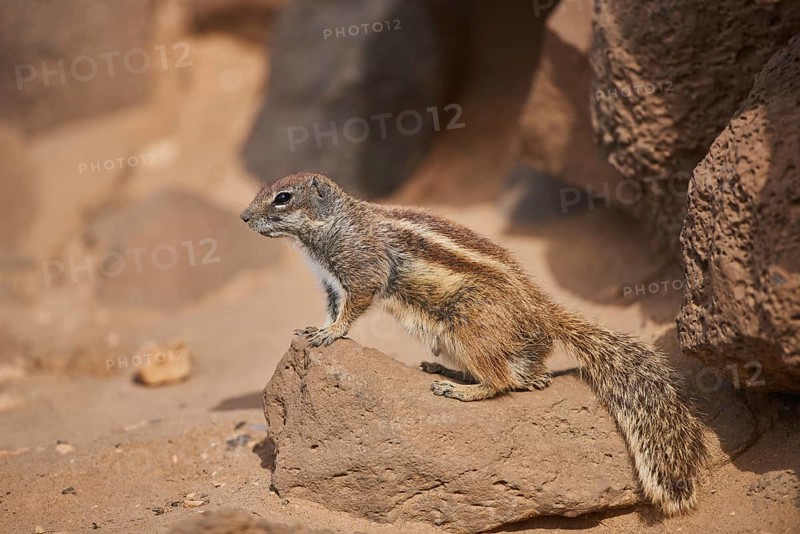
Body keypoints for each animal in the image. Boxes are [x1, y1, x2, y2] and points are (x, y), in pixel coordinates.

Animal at [241, 172, 708, 515]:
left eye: (282, 197)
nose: (244, 217)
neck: (334, 225)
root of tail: (541, 312)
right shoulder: (330, 283)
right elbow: (334, 307)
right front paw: (315, 328)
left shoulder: (361, 269)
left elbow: (353, 307)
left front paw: (331, 333)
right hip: (452, 337)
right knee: (525, 375)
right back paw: (458, 371)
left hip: (469, 327)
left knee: (500, 381)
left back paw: (460, 389)